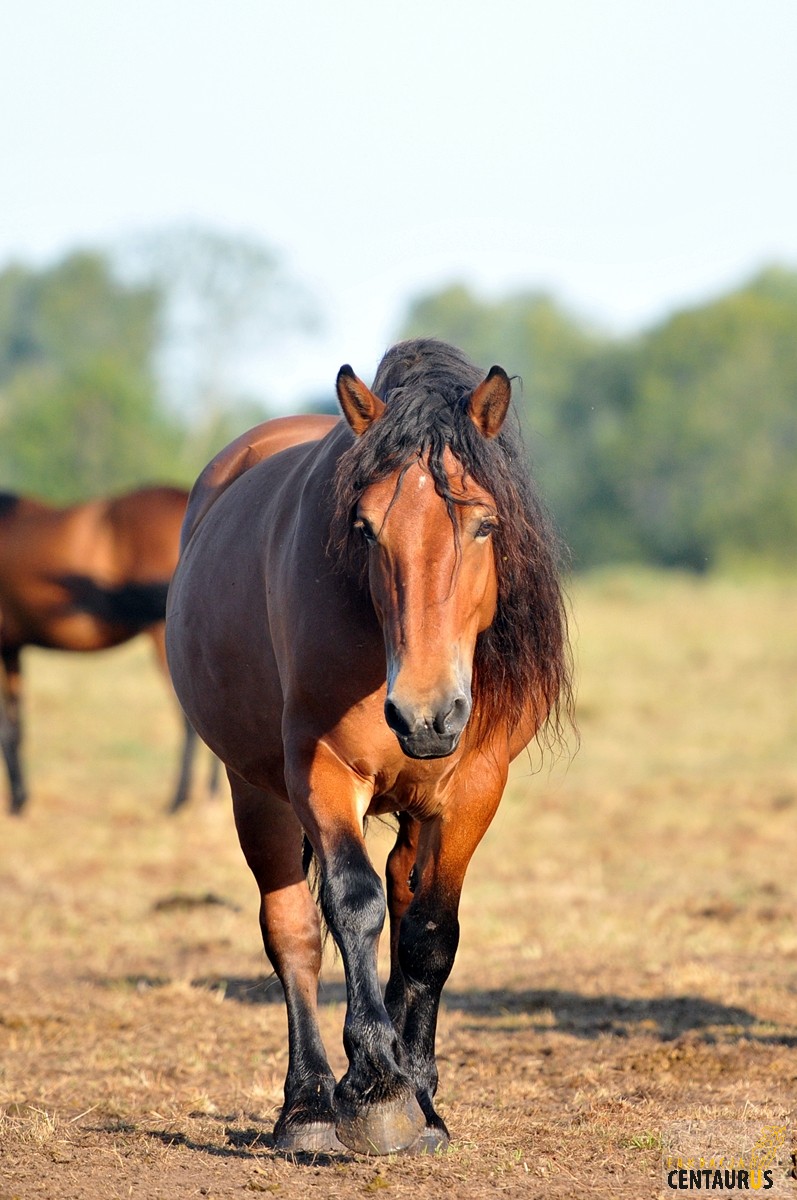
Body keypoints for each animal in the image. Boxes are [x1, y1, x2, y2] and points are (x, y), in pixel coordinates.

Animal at [0, 487, 208, 816]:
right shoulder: (11, 649)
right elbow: (15, 726)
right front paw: (20, 799)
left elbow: (5, 729)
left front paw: (16, 805)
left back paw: (177, 801)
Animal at [166, 338, 573, 1152]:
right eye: (364, 529)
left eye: (484, 525)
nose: (425, 715)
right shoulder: (321, 772)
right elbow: (353, 906)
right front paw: (377, 1087)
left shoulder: (472, 789)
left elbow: (428, 931)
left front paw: (420, 1097)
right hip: (256, 792)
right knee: (292, 931)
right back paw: (307, 1107)